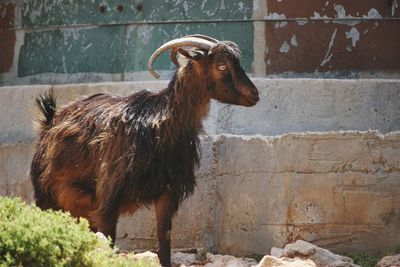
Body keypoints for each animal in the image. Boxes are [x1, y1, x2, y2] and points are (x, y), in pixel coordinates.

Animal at [29, 34, 258, 266]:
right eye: (221, 66)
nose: (255, 94)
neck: (158, 125)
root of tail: (50, 119)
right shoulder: (109, 195)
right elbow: (109, 238)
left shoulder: (168, 190)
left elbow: (164, 237)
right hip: (47, 195)